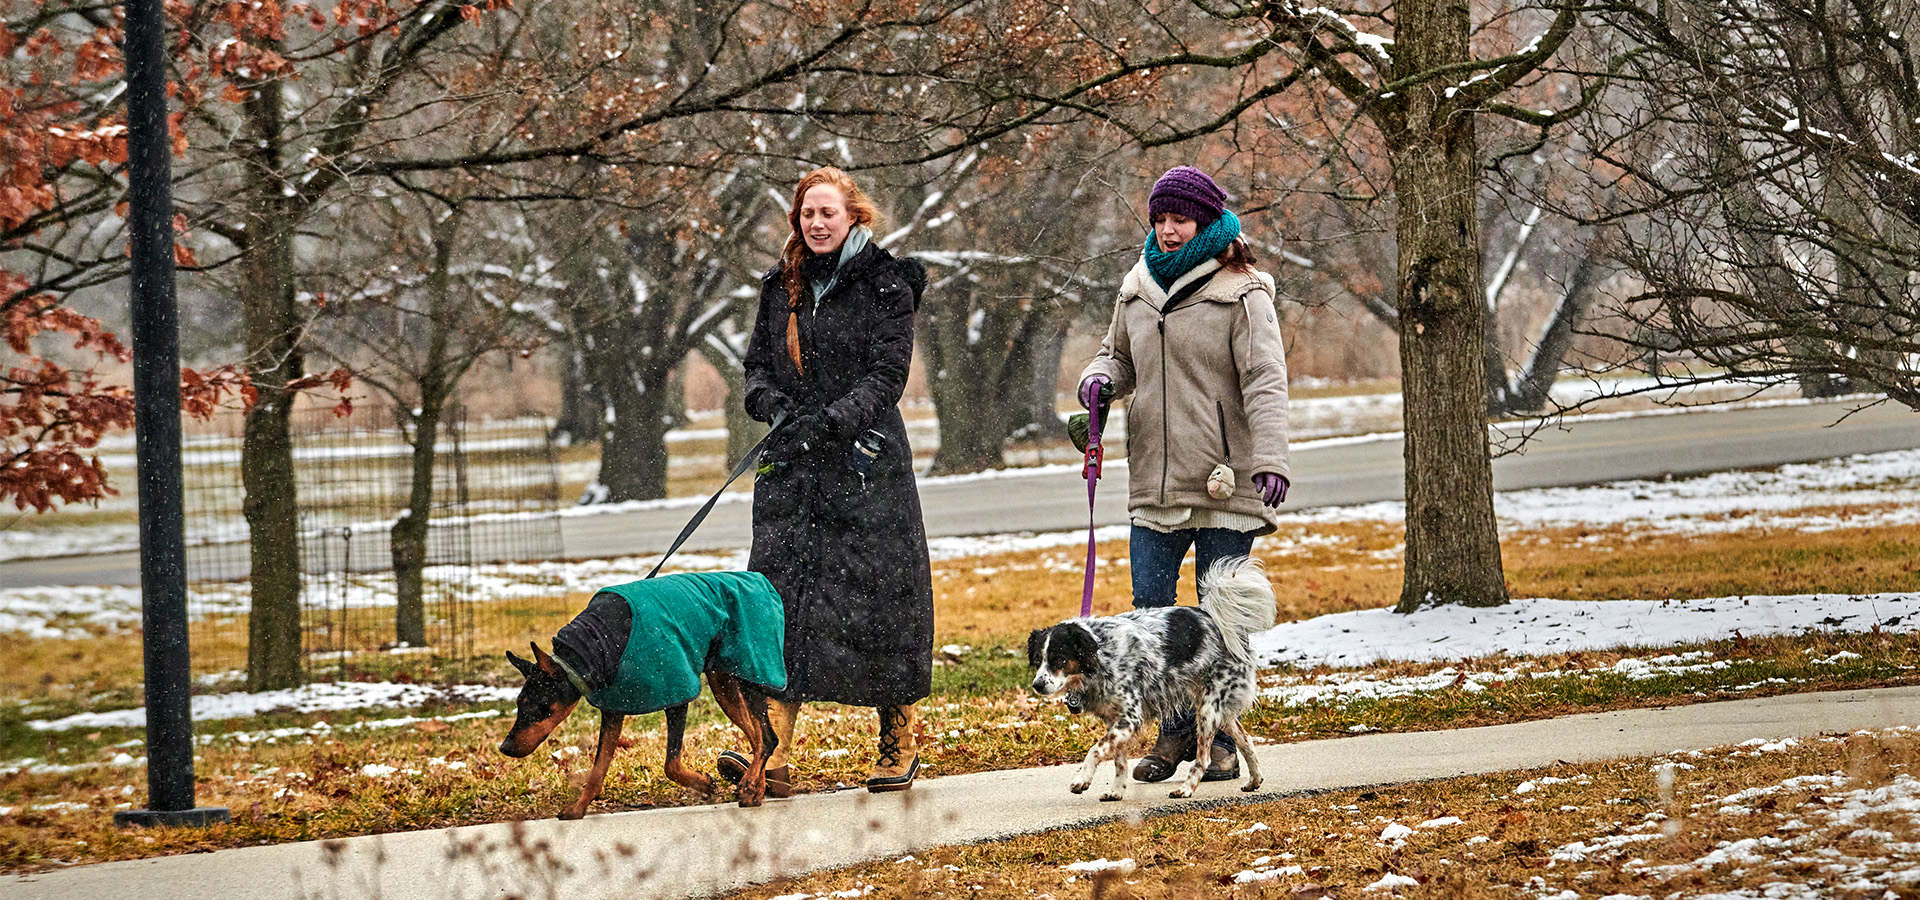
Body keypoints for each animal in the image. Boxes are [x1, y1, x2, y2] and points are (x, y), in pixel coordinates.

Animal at [503, 571, 794, 817]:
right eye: (519, 704)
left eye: (541, 707)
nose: (505, 747)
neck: (598, 645)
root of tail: (760, 579)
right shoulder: (613, 707)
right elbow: (598, 769)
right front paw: (578, 808)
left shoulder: (677, 692)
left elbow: (671, 765)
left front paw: (703, 783)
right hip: (724, 681)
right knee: (757, 737)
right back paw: (753, 788)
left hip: (752, 672)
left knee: (768, 738)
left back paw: (750, 784)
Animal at [1021, 552, 1274, 798]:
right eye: (1038, 660)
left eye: (1059, 659)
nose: (1037, 685)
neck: (1102, 654)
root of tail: (1214, 618)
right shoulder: (1115, 719)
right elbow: (1119, 760)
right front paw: (1116, 791)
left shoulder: (1130, 717)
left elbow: (1095, 750)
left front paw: (1082, 779)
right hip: (1219, 708)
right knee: (1245, 740)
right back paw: (1255, 780)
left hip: (1207, 711)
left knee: (1203, 758)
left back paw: (1186, 789)